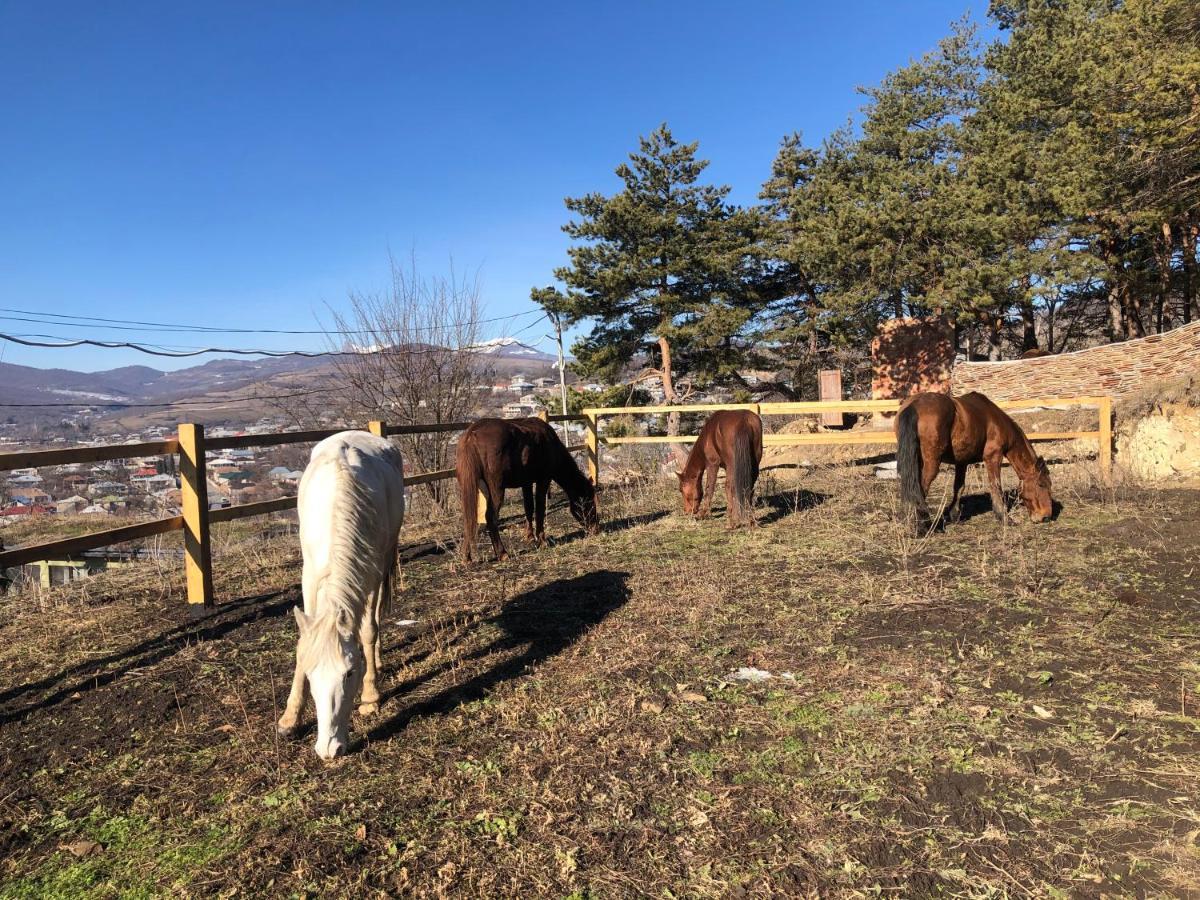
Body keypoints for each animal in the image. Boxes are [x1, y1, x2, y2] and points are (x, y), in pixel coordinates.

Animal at [274, 432, 403, 763]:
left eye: (349, 674)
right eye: (311, 675)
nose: (329, 749)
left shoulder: (370, 575)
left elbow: (368, 631)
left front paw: (370, 697)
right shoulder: (309, 577)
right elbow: (303, 642)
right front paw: (290, 718)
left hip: (386, 559)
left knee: (375, 620)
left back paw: (377, 662)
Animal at [453, 417, 600, 564]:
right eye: (589, 503)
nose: (595, 529)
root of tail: (471, 434)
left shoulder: (526, 483)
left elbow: (528, 508)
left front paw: (530, 537)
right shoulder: (543, 480)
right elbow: (539, 508)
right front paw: (542, 541)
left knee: (469, 518)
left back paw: (466, 557)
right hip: (496, 489)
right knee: (490, 517)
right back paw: (502, 553)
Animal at [897, 391, 1056, 532]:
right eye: (1041, 484)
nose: (1046, 516)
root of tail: (915, 405)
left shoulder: (962, 462)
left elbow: (959, 487)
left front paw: (954, 515)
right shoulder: (993, 457)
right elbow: (995, 486)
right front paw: (1004, 518)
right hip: (931, 464)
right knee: (921, 489)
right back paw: (922, 525)